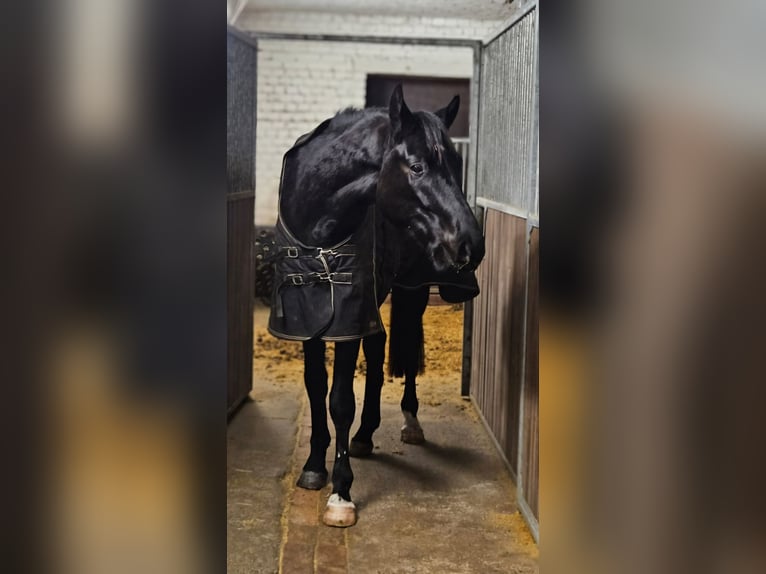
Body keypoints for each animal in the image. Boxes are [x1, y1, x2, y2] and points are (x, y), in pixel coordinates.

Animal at [268, 85, 485, 527]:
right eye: (417, 167)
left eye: (456, 164)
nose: (472, 245)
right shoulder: (309, 320)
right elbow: (316, 388)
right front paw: (314, 466)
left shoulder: (348, 318)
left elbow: (340, 400)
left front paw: (341, 492)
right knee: (378, 345)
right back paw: (366, 435)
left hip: (410, 291)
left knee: (404, 346)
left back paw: (409, 422)